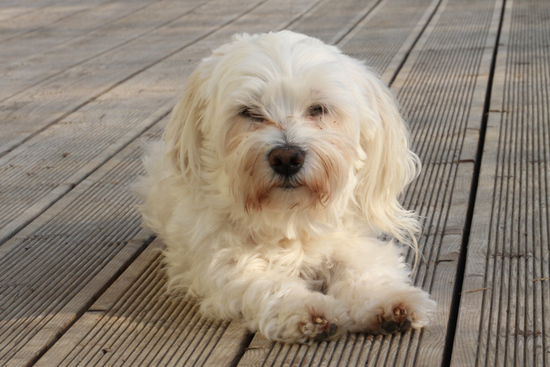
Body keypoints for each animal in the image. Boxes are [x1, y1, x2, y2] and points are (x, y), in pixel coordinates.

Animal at [136, 30, 438, 344]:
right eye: (249, 112)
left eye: (318, 109)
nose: (286, 157)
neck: (291, 216)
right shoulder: (225, 261)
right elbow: (268, 283)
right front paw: (307, 310)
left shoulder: (351, 240)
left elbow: (365, 268)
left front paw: (387, 301)